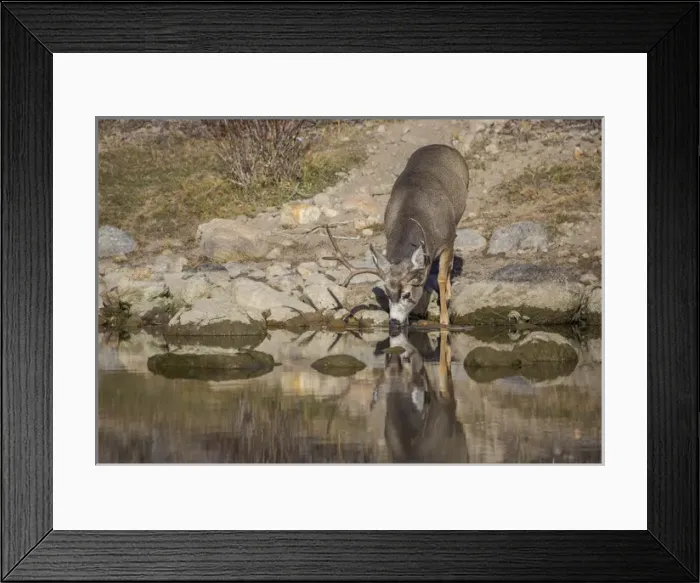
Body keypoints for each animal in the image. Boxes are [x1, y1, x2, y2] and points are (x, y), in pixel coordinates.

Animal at [323, 144, 469, 329]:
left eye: (407, 294)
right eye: (387, 293)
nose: (393, 321)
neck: (414, 213)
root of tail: (440, 146)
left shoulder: (447, 239)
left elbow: (441, 278)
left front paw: (445, 320)